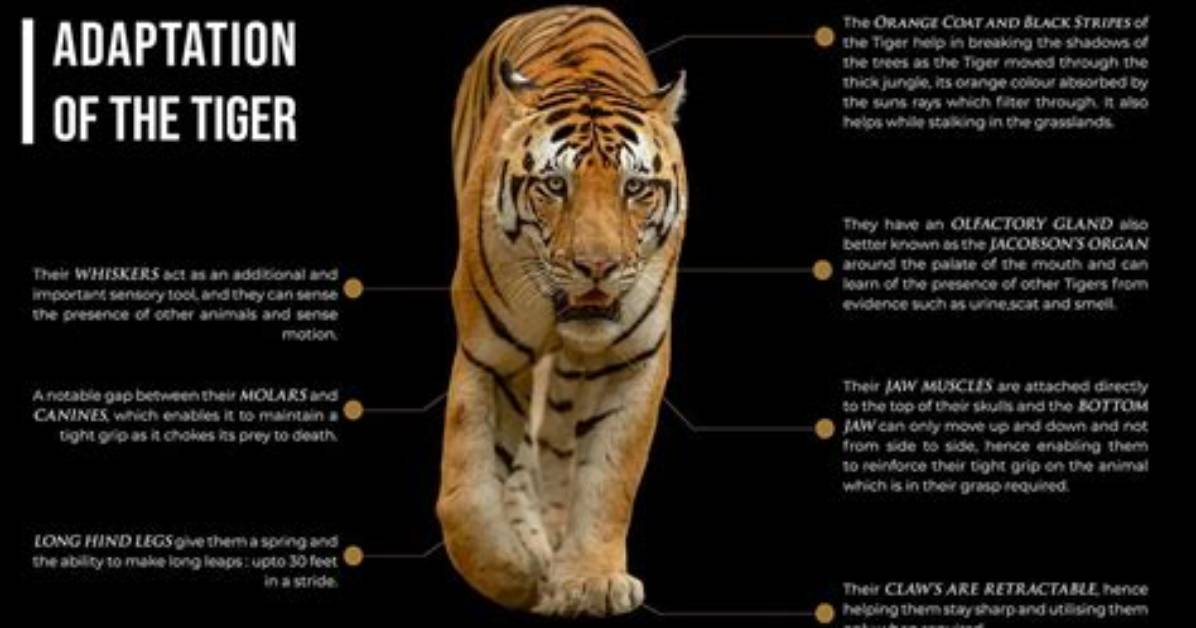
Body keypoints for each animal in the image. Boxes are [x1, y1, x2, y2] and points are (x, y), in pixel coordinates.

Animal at [436, 5, 687, 617]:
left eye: (635, 187)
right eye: (554, 184)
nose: (596, 266)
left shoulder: (637, 359)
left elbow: (609, 478)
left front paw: (591, 578)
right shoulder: (487, 354)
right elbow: (467, 493)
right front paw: (515, 576)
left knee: (553, 446)